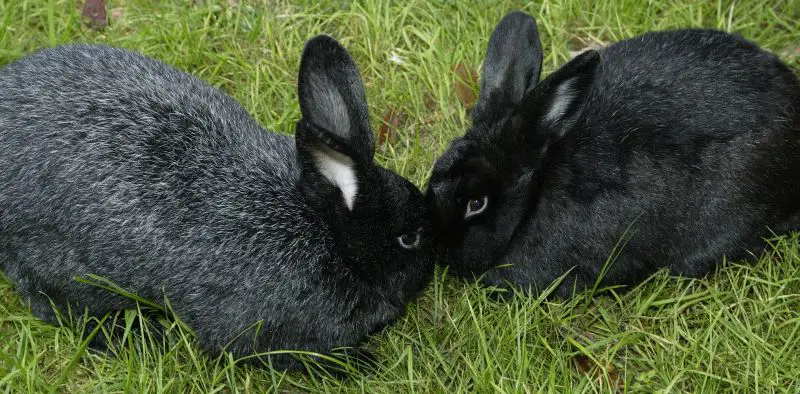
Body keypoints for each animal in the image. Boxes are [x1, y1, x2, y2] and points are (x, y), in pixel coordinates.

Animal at [0, 35, 438, 370]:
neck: (329, 234)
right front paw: (359, 363)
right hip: (62, 265)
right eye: (409, 238)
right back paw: (140, 337)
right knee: (56, 305)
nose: (437, 261)